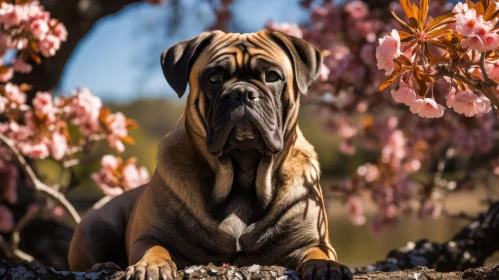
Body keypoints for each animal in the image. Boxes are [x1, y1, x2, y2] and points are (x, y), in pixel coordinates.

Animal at [68, 29, 354, 278]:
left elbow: (319, 254)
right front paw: (151, 266)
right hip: (94, 227)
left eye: (272, 76)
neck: (242, 175)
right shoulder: (149, 235)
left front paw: (327, 267)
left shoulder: (312, 241)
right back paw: (103, 264)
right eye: (214, 77)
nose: (242, 93)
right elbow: (155, 248)